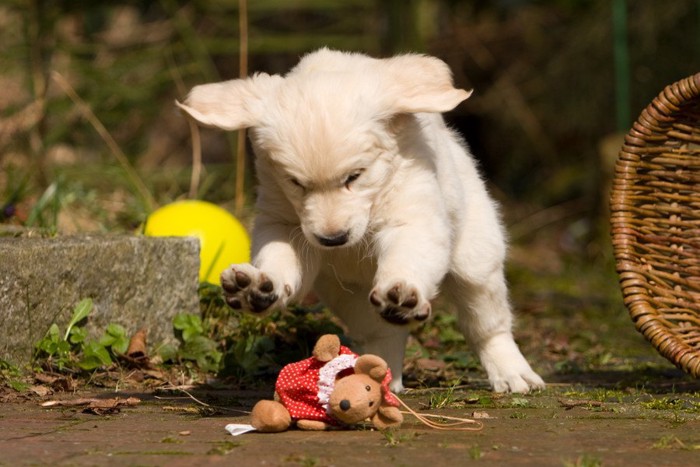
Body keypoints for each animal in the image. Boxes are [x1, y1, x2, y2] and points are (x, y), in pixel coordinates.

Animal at [178, 47, 544, 394]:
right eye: (295, 182)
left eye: (355, 176)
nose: (333, 239)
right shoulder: (285, 224)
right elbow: (280, 260)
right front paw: (258, 287)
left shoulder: (413, 217)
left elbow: (408, 256)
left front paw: (403, 290)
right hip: (349, 298)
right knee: (383, 335)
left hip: (476, 259)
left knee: (487, 323)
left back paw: (513, 374)